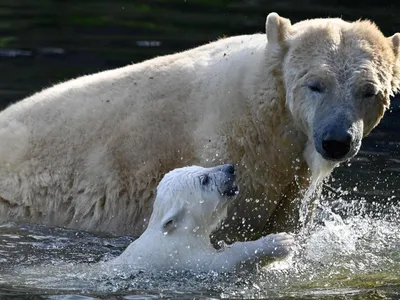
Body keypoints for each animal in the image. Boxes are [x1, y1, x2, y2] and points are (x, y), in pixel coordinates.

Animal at [104, 164, 296, 274]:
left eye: (202, 166)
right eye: (204, 179)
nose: (230, 167)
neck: (174, 233)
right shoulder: (181, 258)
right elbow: (222, 262)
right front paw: (279, 241)